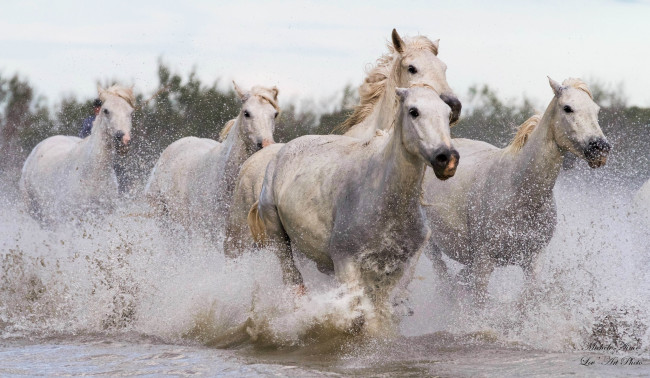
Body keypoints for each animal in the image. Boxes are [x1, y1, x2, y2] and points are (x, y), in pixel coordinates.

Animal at [247, 86, 456, 330]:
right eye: (414, 111)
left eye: (447, 114)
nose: (447, 158)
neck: (384, 200)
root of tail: (280, 153)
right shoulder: (346, 262)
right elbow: (360, 317)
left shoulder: (398, 268)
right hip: (278, 238)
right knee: (293, 280)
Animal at [420, 77, 608, 302]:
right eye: (567, 108)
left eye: (596, 111)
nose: (600, 148)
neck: (518, 191)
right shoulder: (483, 261)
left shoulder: (533, 260)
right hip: (432, 248)